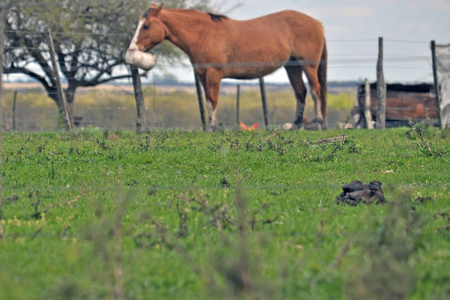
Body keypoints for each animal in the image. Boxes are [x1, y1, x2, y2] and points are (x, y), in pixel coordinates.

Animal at [126, 3, 326, 130]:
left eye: (146, 26)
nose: (130, 51)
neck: (203, 33)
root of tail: (317, 23)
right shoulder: (202, 75)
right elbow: (208, 101)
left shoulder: (213, 74)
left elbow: (213, 100)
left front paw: (214, 128)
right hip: (292, 66)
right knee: (300, 92)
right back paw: (295, 125)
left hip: (308, 65)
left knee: (315, 90)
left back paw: (318, 121)